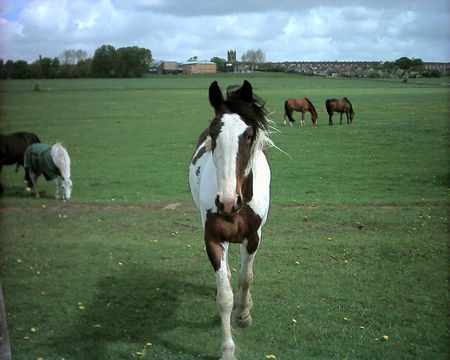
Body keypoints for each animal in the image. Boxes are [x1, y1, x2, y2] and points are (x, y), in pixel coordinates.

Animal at [189, 81, 272, 360]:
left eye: (248, 135)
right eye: (214, 135)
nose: (226, 202)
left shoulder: (253, 237)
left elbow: (246, 277)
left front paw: (243, 314)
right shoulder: (213, 239)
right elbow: (224, 297)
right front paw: (227, 350)